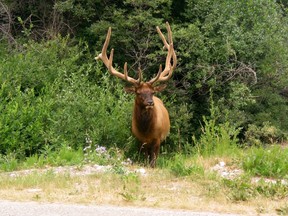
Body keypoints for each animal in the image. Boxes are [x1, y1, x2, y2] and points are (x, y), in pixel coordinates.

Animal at [95, 22, 177, 167]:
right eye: (138, 93)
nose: (150, 103)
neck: (146, 131)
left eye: (152, 92)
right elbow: (145, 159)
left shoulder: (157, 139)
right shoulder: (139, 140)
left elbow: (153, 161)